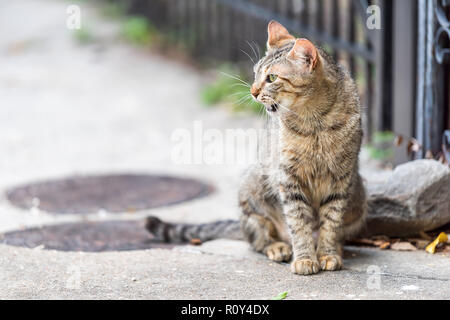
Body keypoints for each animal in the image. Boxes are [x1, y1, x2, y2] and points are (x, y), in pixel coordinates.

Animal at [146, 20, 368, 276]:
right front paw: (305, 258)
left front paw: (327, 254)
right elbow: (299, 223)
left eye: (272, 77)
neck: (314, 121)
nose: (252, 92)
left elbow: (330, 223)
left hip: (359, 197)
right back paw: (278, 247)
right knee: (258, 238)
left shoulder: (341, 178)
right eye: (255, 73)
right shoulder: (288, 178)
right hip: (253, 189)